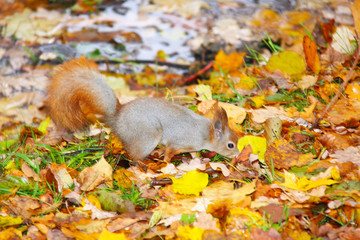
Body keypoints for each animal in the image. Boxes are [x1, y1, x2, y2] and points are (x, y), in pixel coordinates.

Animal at [47, 56, 239, 161]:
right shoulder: (179, 141)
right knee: (133, 155)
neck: (205, 132)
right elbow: (170, 152)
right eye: (230, 145)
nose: (238, 154)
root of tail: (117, 118)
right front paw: (167, 162)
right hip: (149, 134)